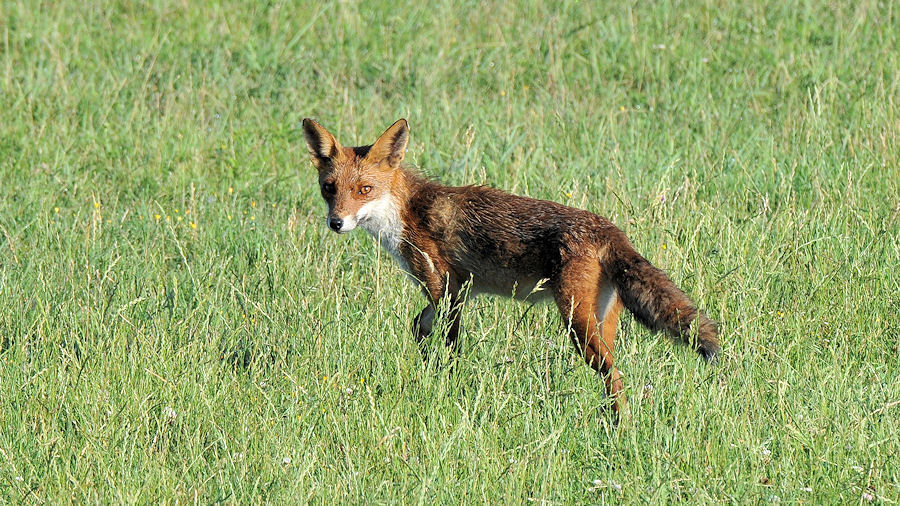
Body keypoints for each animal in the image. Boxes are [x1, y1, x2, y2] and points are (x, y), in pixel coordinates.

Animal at [301, 117, 720, 416]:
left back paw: (619, 431)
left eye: (364, 190)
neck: (404, 212)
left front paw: (448, 389)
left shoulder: (446, 288)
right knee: (614, 374)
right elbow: (419, 326)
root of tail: (609, 229)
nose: (336, 222)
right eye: (329, 188)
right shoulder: (451, 292)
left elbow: (451, 347)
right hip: (602, 323)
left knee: (614, 375)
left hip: (577, 325)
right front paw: (427, 369)